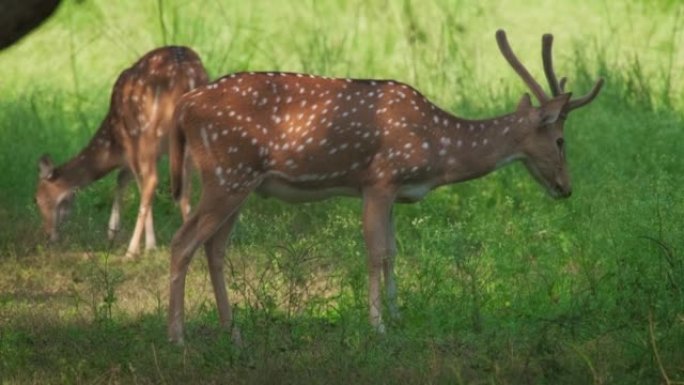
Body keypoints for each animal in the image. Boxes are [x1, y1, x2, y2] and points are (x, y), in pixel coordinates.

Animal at [36, 45, 208, 258]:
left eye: (38, 199)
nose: (47, 235)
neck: (113, 145)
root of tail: (186, 76)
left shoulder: (131, 143)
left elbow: (132, 182)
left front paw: (146, 244)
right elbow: (123, 178)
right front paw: (114, 232)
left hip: (147, 131)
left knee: (152, 181)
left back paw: (131, 251)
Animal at [166, 30, 604, 342]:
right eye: (561, 140)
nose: (566, 187)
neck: (437, 147)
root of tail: (183, 107)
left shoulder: (394, 193)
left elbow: (393, 252)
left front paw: (398, 316)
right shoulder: (378, 180)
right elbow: (376, 253)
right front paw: (377, 326)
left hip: (239, 182)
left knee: (214, 247)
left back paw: (232, 330)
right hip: (227, 173)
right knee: (183, 241)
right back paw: (178, 337)